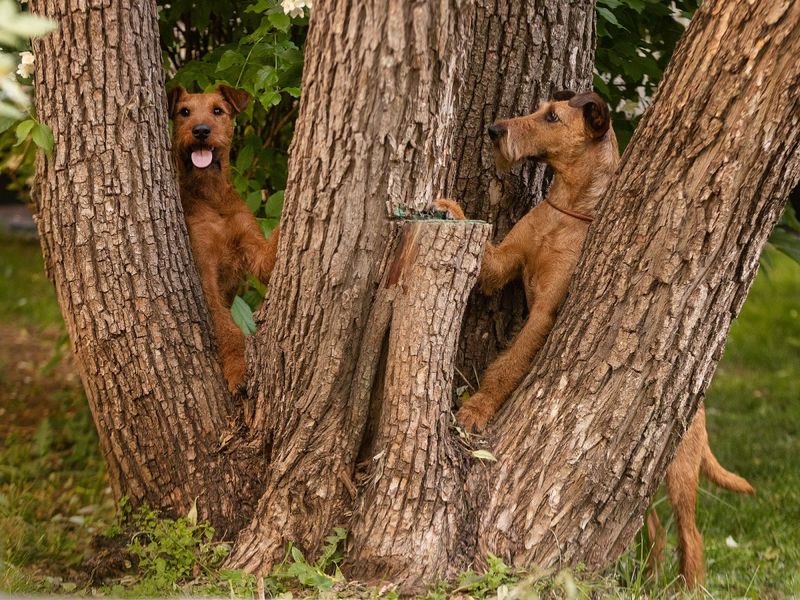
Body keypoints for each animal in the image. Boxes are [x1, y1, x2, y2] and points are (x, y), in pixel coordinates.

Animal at [169, 84, 282, 394]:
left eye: (218, 110)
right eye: (184, 112)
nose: (201, 130)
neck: (212, 195)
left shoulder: (255, 251)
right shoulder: (204, 269)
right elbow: (227, 327)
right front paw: (237, 369)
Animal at [438, 91, 756, 588]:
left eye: (552, 116)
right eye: (540, 109)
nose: (494, 130)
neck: (566, 207)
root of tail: (698, 398)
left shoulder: (544, 312)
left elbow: (508, 365)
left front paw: (476, 410)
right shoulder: (503, 262)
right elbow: (486, 253)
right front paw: (449, 208)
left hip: (679, 471)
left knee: (692, 536)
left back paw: (689, 587)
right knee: (654, 530)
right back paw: (648, 580)